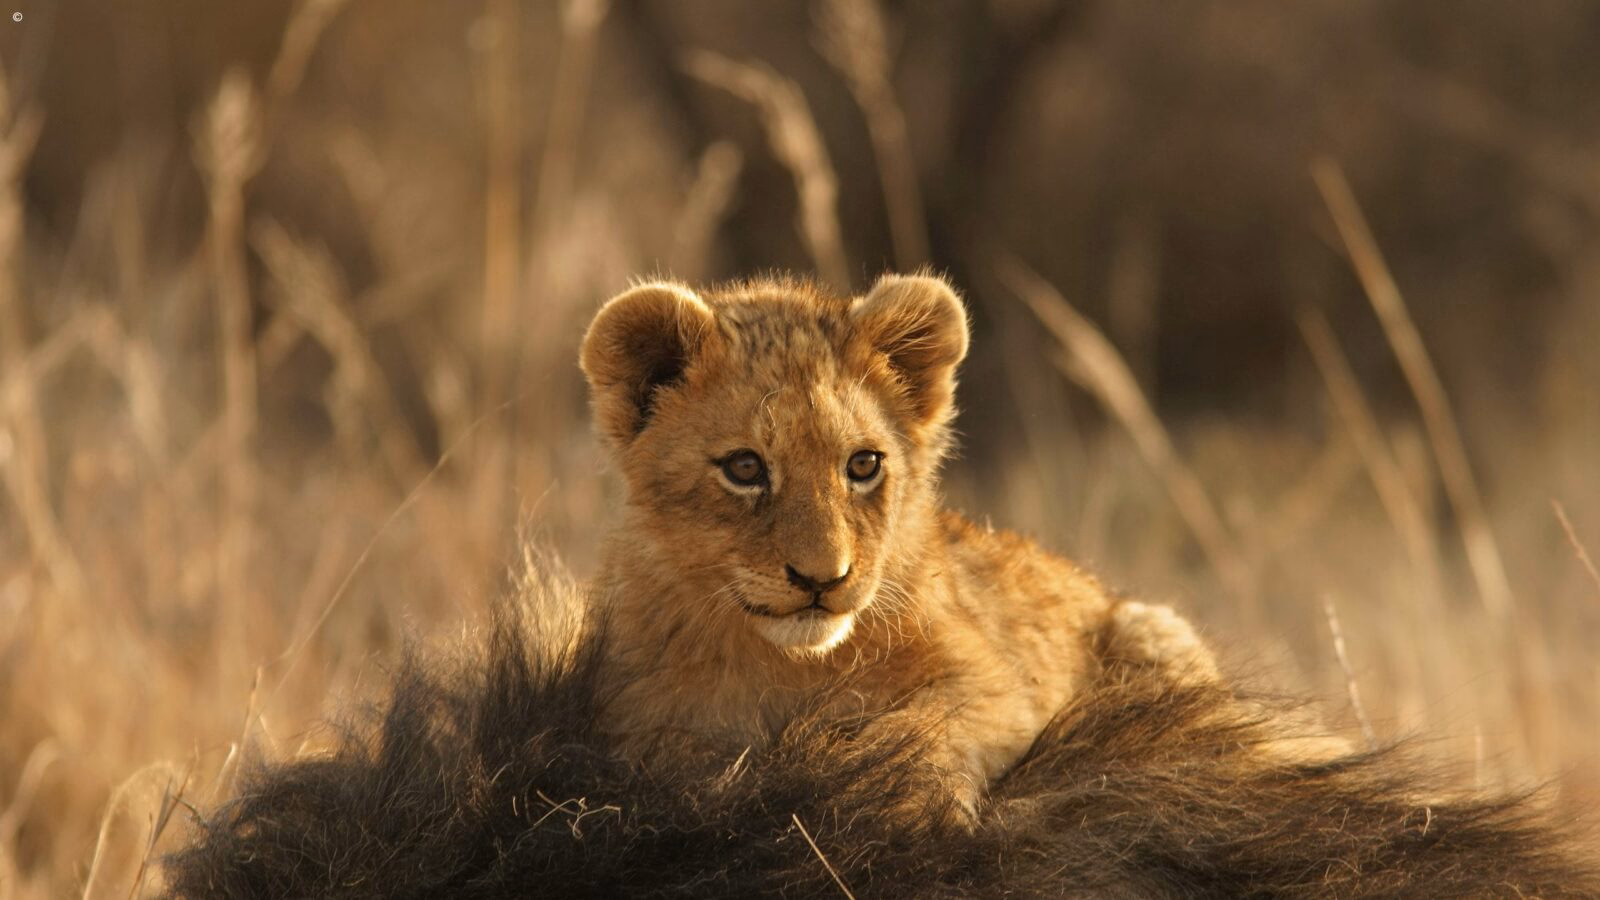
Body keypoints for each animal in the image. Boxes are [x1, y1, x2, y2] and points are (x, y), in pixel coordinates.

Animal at [579, 272, 1224, 812]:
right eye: (744, 468)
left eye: (863, 464)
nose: (822, 580)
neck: (789, 666)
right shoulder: (626, 716)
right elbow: (679, 753)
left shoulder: (999, 683)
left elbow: (921, 726)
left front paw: (899, 803)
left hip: (1151, 630)